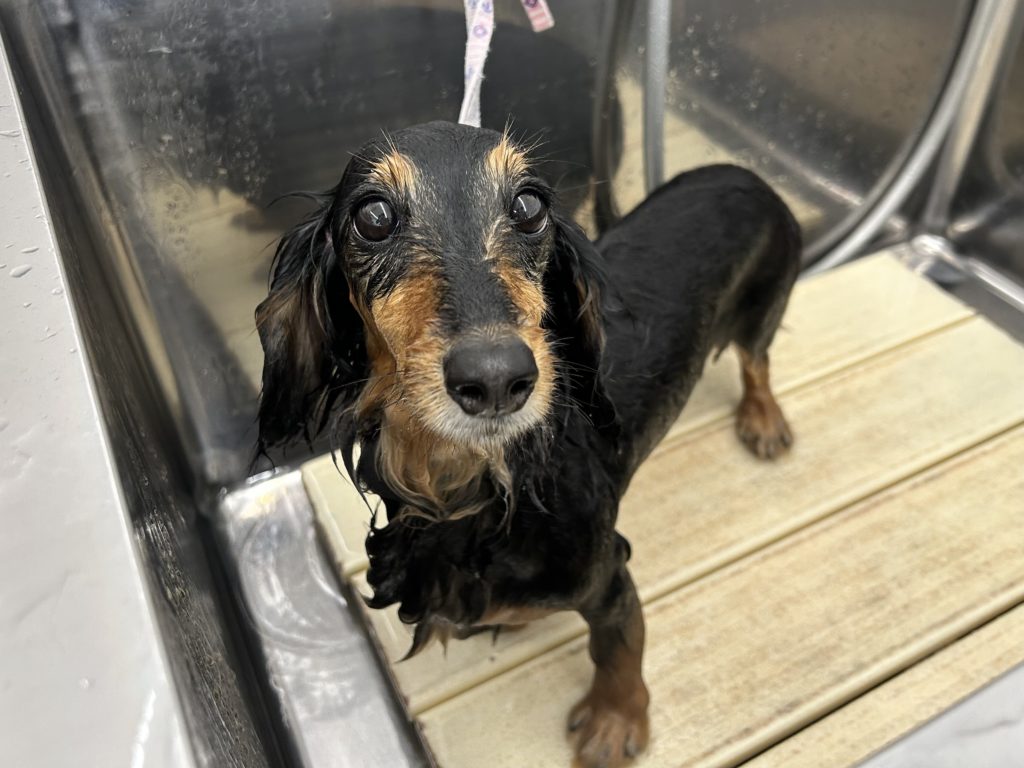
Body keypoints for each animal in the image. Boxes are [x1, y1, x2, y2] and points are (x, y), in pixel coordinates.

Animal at [255, 121, 800, 768]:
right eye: (374, 216)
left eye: (530, 206)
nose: (495, 378)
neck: (484, 489)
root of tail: (745, 172)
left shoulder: (609, 575)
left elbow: (617, 651)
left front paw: (615, 722)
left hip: (764, 309)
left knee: (758, 361)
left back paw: (763, 420)